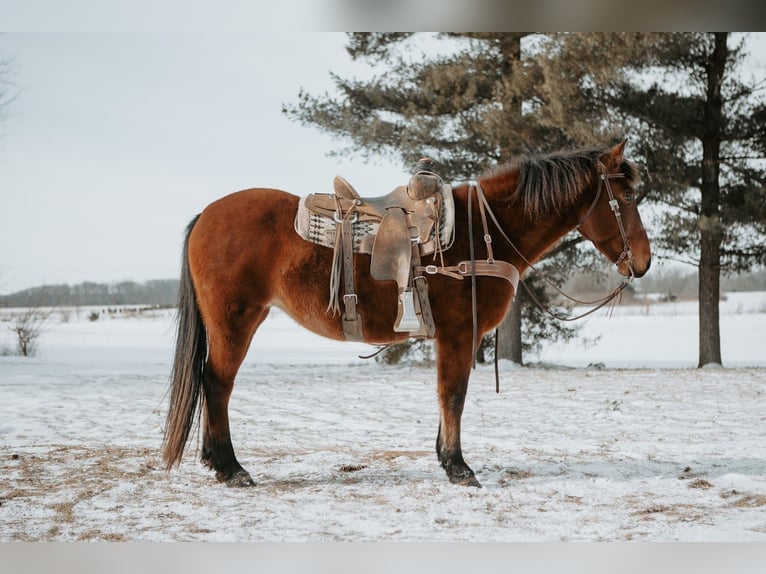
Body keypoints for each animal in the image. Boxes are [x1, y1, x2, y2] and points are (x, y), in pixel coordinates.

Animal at [162, 140, 651, 488]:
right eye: (626, 196)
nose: (644, 263)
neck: (484, 232)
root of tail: (207, 215)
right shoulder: (459, 334)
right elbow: (453, 395)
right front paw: (458, 467)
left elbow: (446, 397)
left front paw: (445, 457)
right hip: (235, 322)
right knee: (217, 385)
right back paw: (230, 468)